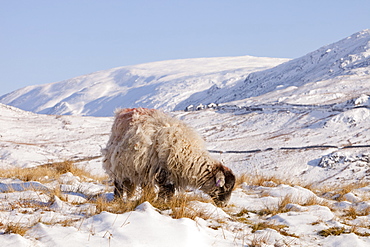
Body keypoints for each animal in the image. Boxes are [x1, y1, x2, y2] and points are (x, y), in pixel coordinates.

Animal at [102, 108, 234, 206]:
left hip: (141, 168)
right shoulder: (163, 172)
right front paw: (160, 202)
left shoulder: (172, 175)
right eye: (226, 187)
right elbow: (166, 190)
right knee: (118, 185)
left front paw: (166, 202)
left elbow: (170, 192)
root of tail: (122, 112)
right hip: (118, 164)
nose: (225, 205)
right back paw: (117, 199)